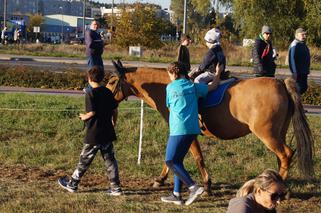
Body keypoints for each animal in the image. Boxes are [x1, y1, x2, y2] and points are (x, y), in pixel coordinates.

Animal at [106, 59, 314, 193]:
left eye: (112, 81)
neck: (170, 85)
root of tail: (280, 83)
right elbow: (174, 157)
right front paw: (161, 179)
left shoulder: (185, 133)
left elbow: (195, 157)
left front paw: (206, 184)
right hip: (278, 133)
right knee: (282, 158)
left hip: (267, 134)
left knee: (286, 154)